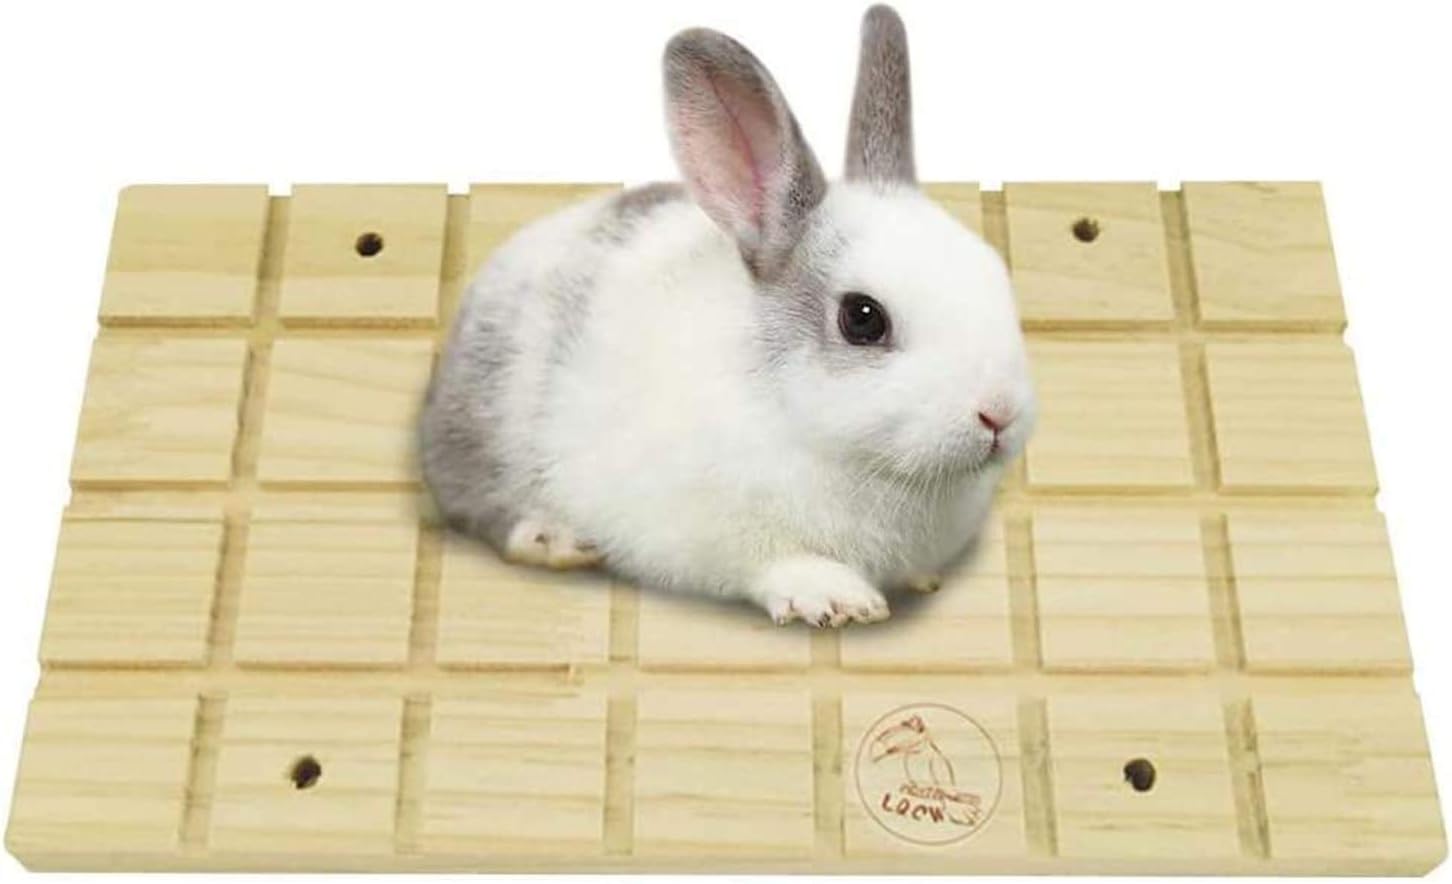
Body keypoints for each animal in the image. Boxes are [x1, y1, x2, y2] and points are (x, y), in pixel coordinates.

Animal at [420, 4, 1035, 627]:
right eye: (863, 318)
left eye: (994, 271)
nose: (999, 414)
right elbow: (777, 562)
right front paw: (837, 598)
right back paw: (552, 539)